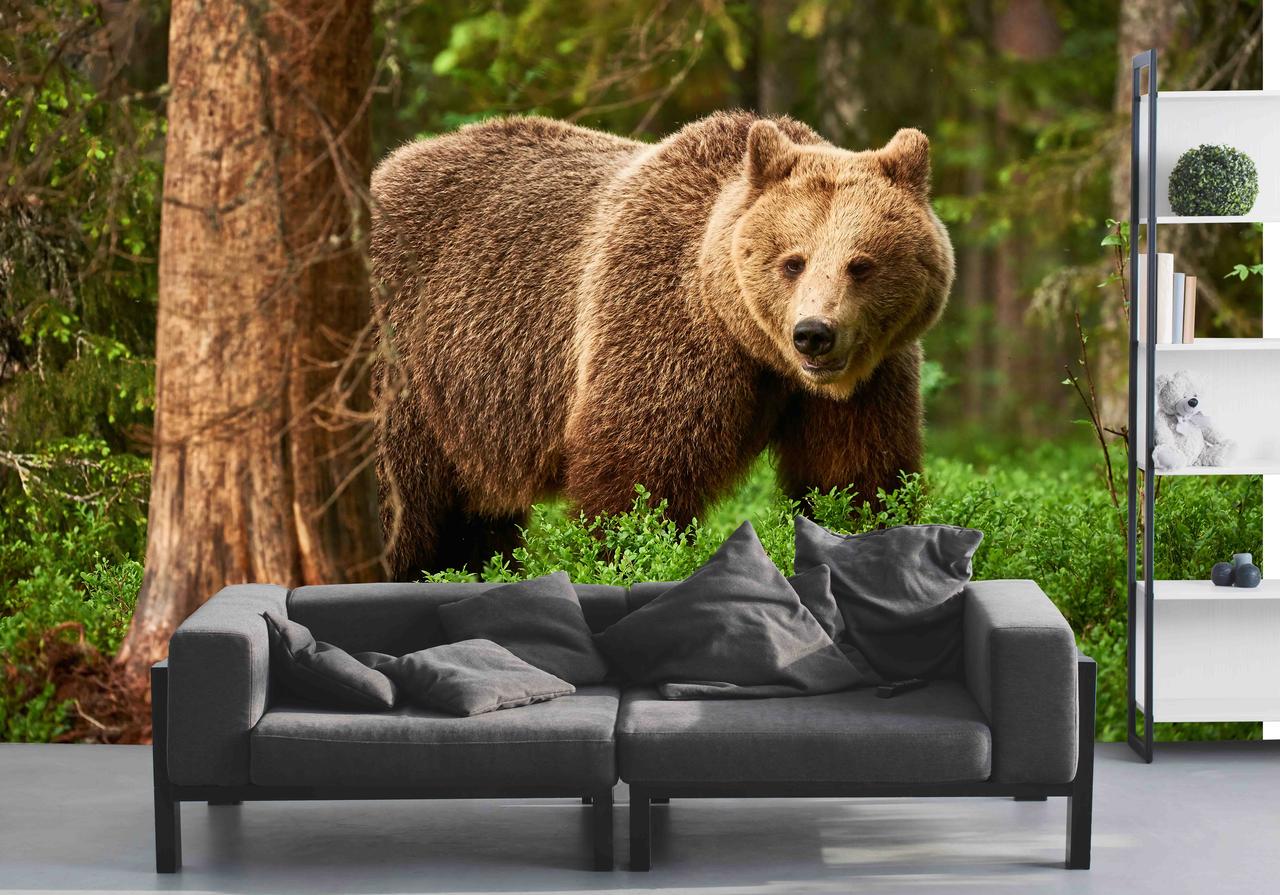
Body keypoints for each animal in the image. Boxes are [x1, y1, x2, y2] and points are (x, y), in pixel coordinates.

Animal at [370, 111, 954, 579]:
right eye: (793, 261)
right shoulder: (660, 325)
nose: (814, 333)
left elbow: (856, 475)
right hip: (407, 357)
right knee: (397, 501)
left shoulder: (869, 380)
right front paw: (629, 555)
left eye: (861, 264)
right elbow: (639, 477)